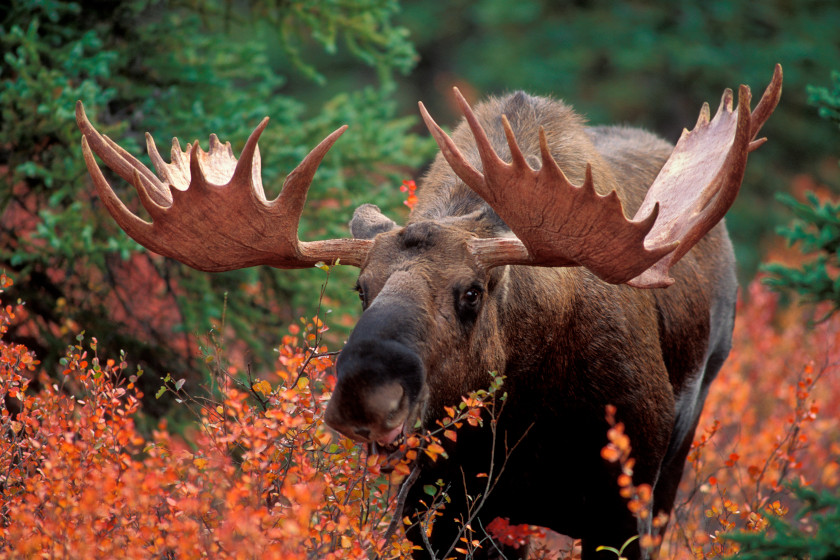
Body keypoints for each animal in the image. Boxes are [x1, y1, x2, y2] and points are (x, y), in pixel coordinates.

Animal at [76, 65, 781, 559]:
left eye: (471, 292)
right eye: (361, 288)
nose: (366, 393)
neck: (525, 419)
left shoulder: (622, 508)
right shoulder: (435, 510)